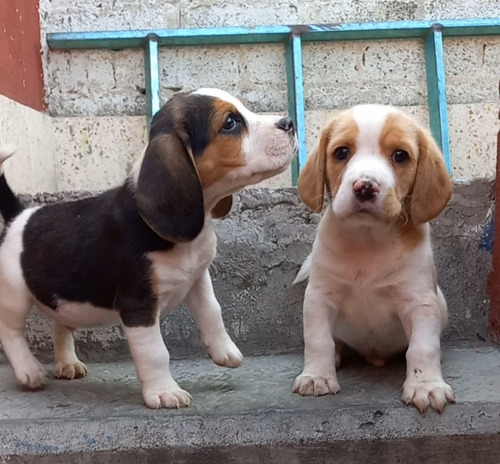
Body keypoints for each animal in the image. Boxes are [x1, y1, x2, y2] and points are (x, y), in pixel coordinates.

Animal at [0, 89, 296, 408]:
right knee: (11, 331)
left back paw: (67, 363)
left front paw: (225, 351)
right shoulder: (139, 305)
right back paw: (29, 371)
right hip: (15, 295)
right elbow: (155, 353)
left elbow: (212, 312)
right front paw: (164, 392)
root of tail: (19, 216)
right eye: (230, 123)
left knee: (61, 323)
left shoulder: (198, 278)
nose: (290, 123)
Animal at [294, 105, 456, 414]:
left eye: (400, 156)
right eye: (342, 152)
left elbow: (423, 347)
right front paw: (317, 376)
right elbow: (318, 341)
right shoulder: (319, 298)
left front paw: (426, 386)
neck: (367, 240)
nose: (364, 186)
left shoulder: (420, 302)